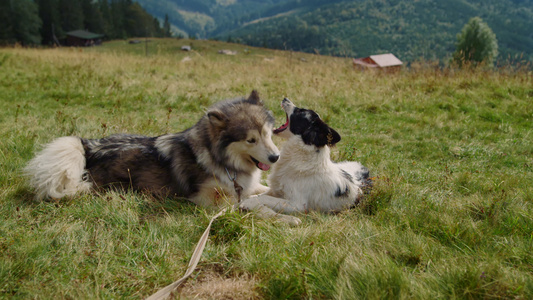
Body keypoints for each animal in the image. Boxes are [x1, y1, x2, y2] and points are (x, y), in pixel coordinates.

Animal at [25, 90, 280, 206]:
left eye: (268, 133)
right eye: (250, 140)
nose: (276, 157)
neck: (222, 161)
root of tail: (89, 146)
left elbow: (265, 190)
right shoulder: (209, 200)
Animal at [241, 98, 370, 225]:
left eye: (300, 111)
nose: (285, 98)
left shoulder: (297, 204)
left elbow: (264, 198)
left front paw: (247, 203)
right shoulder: (275, 190)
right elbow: (257, 195)